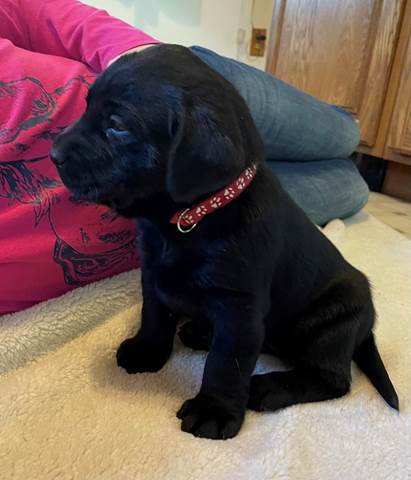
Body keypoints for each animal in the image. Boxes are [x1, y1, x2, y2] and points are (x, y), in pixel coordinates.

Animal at [50, 44, 400, 438]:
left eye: (117, 125)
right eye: (86, 107)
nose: (53, 153)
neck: (192, 219)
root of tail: (366, 328)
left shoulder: (238, 306)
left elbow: (225, 362)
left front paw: (213, 410)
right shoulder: (154, 276)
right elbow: (153, 316)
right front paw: (147, 351)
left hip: (331, 324)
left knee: (333, 379)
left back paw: (268, 387)